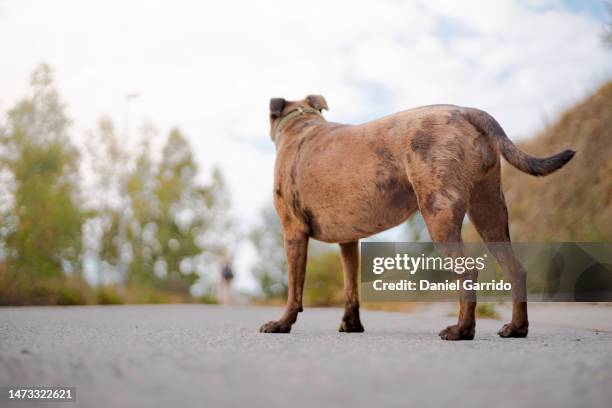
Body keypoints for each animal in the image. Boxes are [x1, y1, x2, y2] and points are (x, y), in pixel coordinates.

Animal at [260, 94, 576, 340]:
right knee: (515, 269)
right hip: (490, 213)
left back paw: (462, 330)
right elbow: (351, 287)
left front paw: (282, 323)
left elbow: (294, 287)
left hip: (439, 213)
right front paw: (351, 325)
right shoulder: (349, 241)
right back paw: (516, 328)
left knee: (467, 271)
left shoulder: (293, 231)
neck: (302, 124)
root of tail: (466, 110)